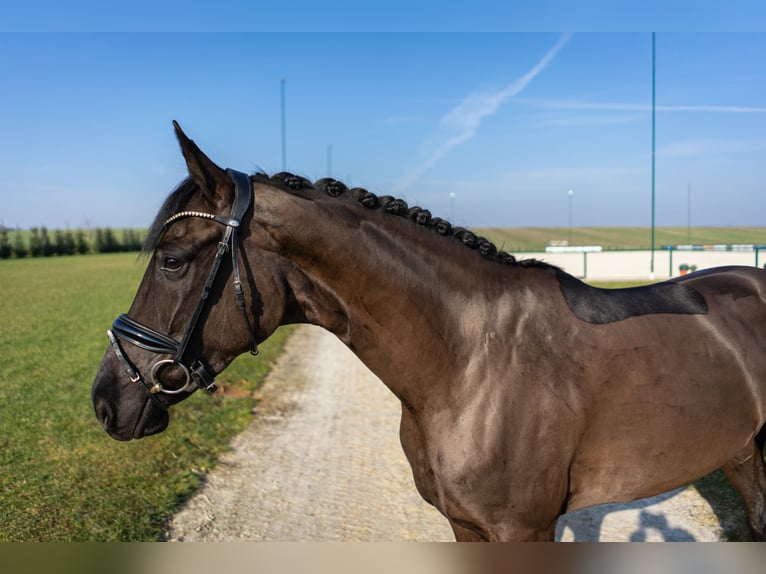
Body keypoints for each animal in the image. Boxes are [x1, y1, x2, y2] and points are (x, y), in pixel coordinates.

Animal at [91, 122, 766, 544]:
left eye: (172, 260)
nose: (106, 400)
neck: (470, 365)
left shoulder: (525, 529)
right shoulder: (466, 525)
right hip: (740, 453)